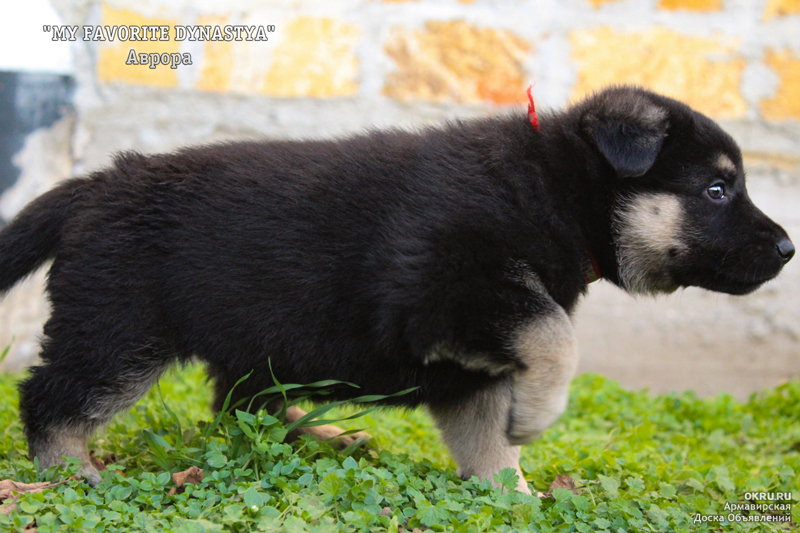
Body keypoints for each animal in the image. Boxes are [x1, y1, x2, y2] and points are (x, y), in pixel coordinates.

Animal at [0, 85, 792, 488]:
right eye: (718, 188)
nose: (789, 249)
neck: (553, 189)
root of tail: (94, 186)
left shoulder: (473, 360)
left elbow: (487, 436)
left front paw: (510, 494)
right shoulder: (453, 292)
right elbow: (556, 334)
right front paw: (539, 416)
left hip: (256, 339)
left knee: (236, 404)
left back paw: (316, 434)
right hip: (120, 328)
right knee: (51, 395)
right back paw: (69, 469)